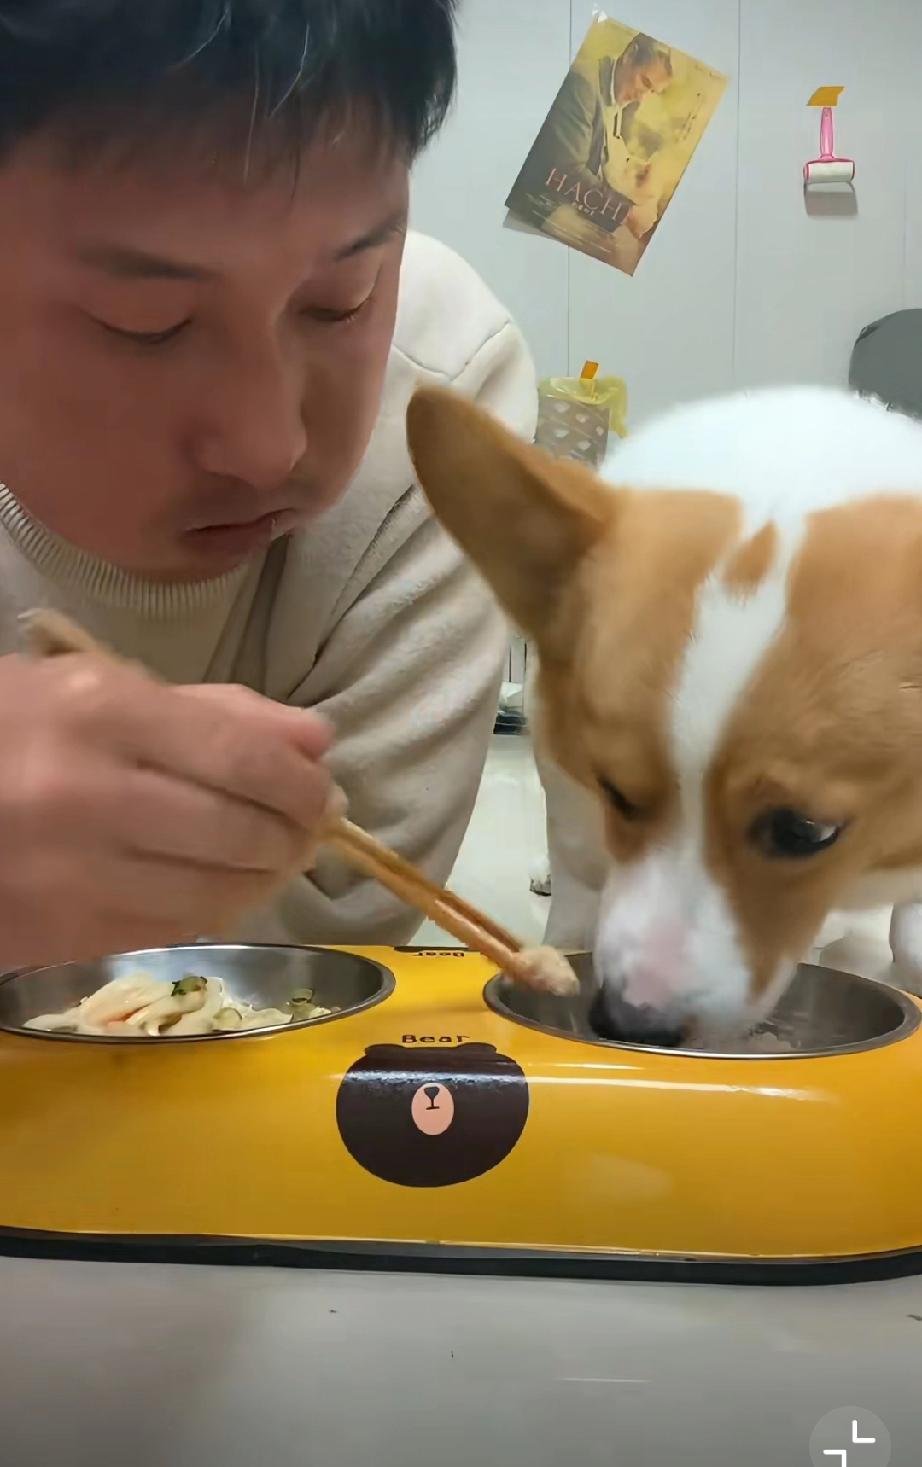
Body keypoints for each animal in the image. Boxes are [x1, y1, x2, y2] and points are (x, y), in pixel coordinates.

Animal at [407, 383, 922, 1046]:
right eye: (617, 792)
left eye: (806, 832)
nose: (631, 1024)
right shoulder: (576, 793)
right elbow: (575, 904)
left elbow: (910, 939)